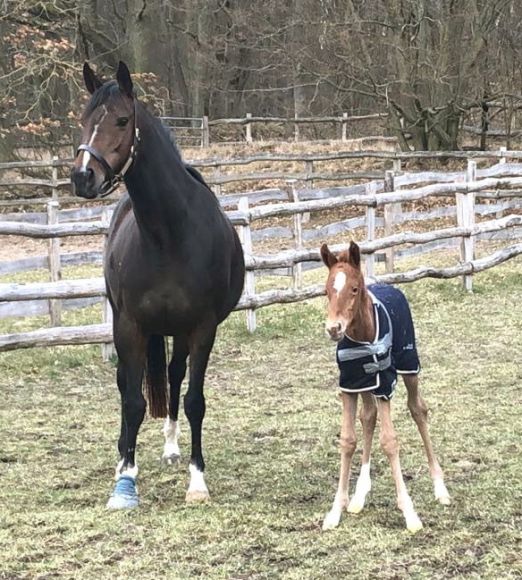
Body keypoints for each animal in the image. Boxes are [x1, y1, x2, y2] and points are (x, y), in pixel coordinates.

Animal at [69, 62, 246, 508]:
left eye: (121, 120)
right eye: (83, 120)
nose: (82, 176)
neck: (168, 234)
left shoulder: (202, 328)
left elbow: (193, 400)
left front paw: (197, 481)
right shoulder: (129, 325)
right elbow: (133, 401)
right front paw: (125, 477)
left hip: (177, 333)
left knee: (174, 375)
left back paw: (170, 447)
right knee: (126, 385)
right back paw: (122, 455)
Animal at [316, 242, 446, 532]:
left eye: (354, 288)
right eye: (327, 290)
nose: (333, 329)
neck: (363, 335)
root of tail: (392, 287)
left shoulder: (385, 384)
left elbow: (389, 441)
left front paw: (409, 513)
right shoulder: (349, 385)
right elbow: (348, 440)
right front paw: (335, 510)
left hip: (409, 365)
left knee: (418, 409)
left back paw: (440, 487)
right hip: (367, 384)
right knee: (368, 416)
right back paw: (359, 495)